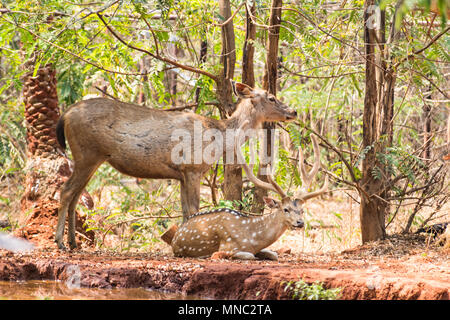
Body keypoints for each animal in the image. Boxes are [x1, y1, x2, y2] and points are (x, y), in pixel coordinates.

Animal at [56, 82, 298, 250]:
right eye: (272, 97)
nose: (293, 111)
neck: (219, 139)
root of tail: (65, 114)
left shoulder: (181, 174)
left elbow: (184, 211)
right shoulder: (192, 168)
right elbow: (193, 210)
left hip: (90, 159)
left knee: (76, 196)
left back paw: (73, 243)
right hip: (87, 153)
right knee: (66, 191)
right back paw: (60, 242)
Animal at [161, 122, 326, 260]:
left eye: (302, 210)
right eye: (286, 209)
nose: (300, 222)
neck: (252, 237)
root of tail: (176, 234)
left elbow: (273, 254)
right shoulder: (228, 246)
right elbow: (247, 255)